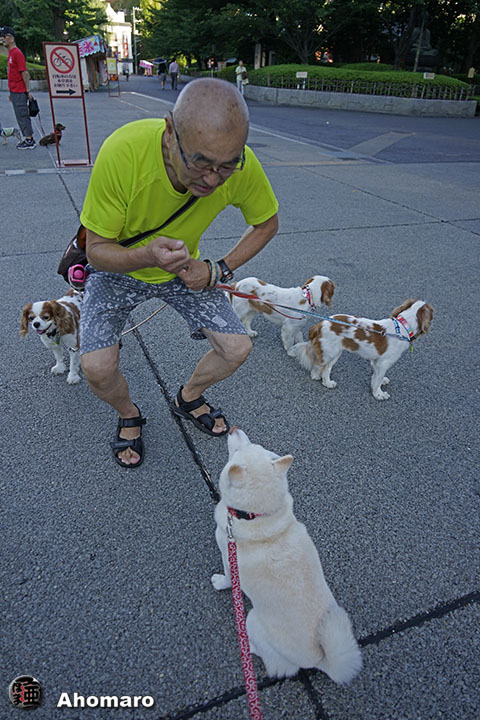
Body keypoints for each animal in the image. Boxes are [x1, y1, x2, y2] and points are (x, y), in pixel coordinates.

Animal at [212, 428, 362, 683]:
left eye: (237, 452)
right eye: (254, 445)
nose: (233, 429)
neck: (256, 517)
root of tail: (319, 659)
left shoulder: (227, 554)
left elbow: (227, 579)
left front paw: (219, 582)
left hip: (251, 619)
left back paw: (249, 647)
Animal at [289, 298, 433, 400]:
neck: (403, 327)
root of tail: (319, 324)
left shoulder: (376, 361)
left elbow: (376, 377)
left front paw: (380, 383)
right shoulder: (383, 363)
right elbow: (377, 379)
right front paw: (378, 394)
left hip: (335, 352)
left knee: (325, 369)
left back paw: (327, 382)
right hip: (330, 352)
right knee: (318, 366)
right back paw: (318, 377)